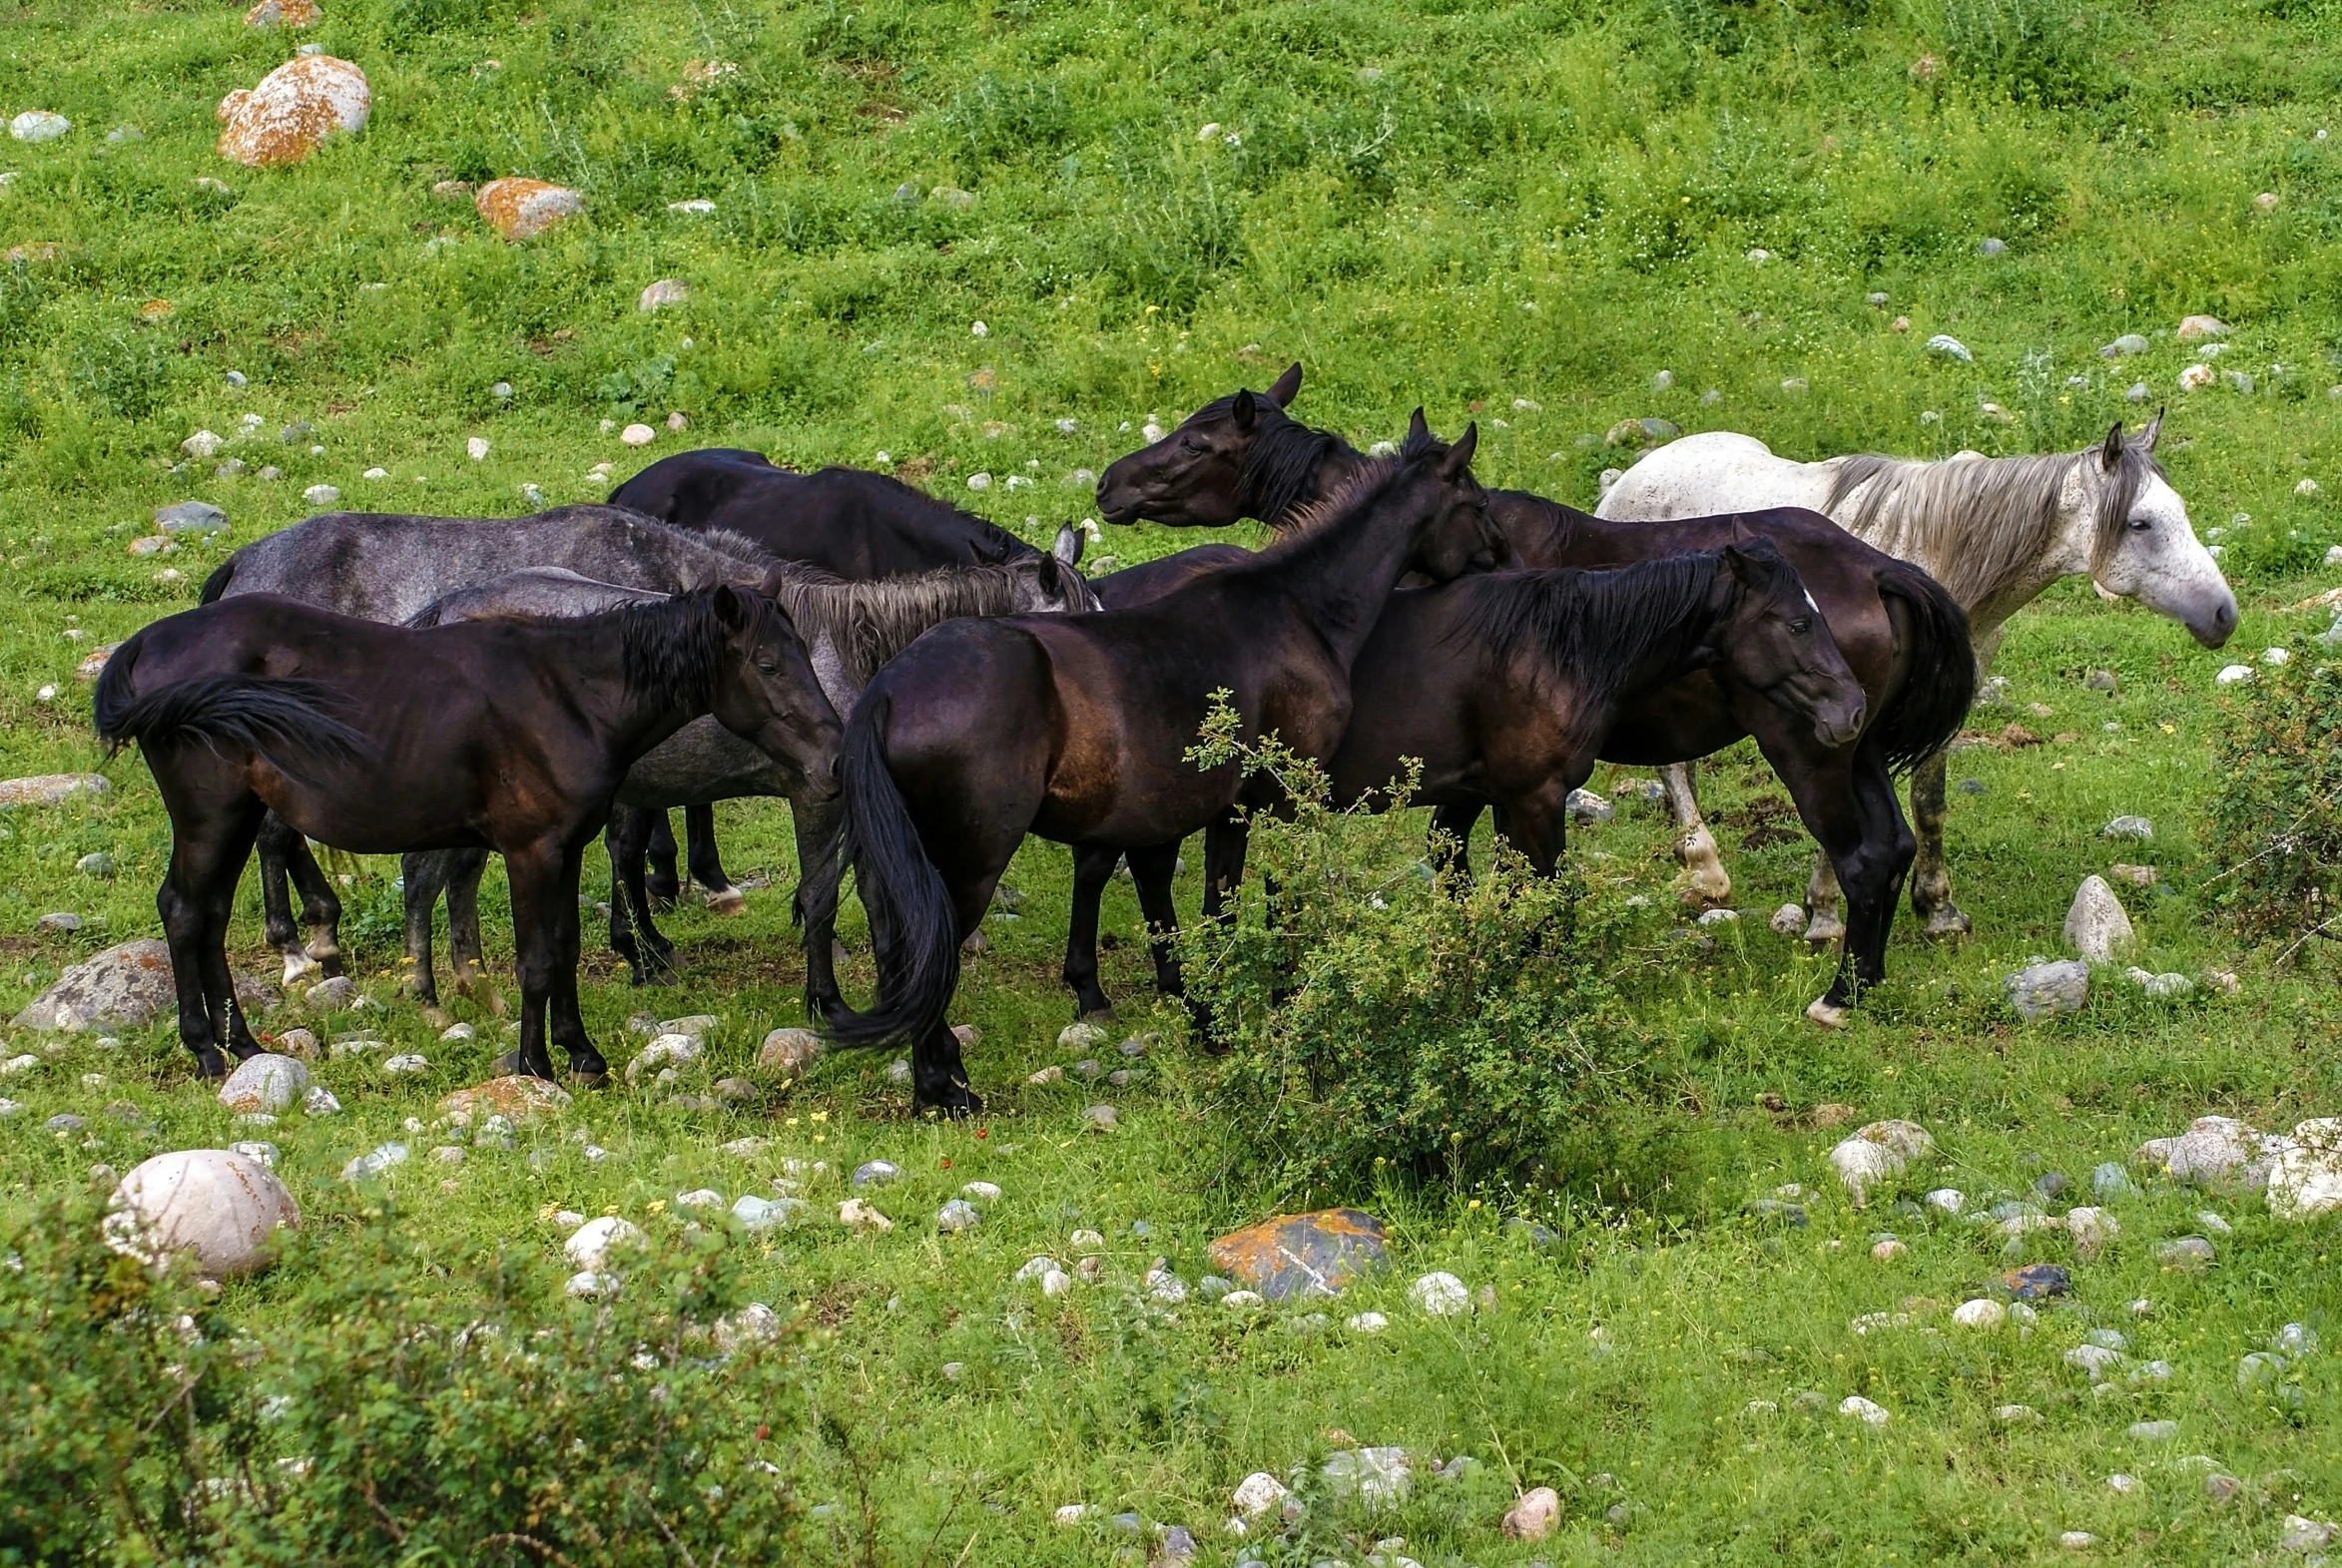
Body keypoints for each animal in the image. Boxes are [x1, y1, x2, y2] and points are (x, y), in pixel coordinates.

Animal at [93, 582, 843, 1085]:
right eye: (769, 664)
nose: (835, 757)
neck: (567, 694)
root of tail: (146, 644)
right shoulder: (530, 850)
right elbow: (537, 959)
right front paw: (537, 1063)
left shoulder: (564, 849)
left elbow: (564, 949)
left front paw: (580, 1051)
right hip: (211, 816)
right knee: (185, 911)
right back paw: (206, 1049)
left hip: (237, 815)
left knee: (210, 916)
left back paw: (245, 1044)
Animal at [402, 552, 1095, 1015]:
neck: (853, 657)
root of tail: (447, 611)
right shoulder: (819, 797)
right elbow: (821, 898)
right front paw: (825, 1001)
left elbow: (878, 896)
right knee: (425, 875)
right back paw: (429, 994)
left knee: (460, 876)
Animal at [824, 411, 1489, 1114]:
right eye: (1476, 505)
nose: (1498, 556)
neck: (1296, 609)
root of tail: (891, 687)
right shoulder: (1279, 805)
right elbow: (1264, 907)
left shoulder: (1222, 810)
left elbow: (1211, 911)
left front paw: (1211, 1016)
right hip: (971, 862)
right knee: (932, 952)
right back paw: (944, 1088)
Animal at [1086, 369, 1967, 1029]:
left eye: (1196, 442)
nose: (1106, 483)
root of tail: (1880, 567)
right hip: (1855, 749)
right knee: (1891, 848)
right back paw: (1868, 975)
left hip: (1809, 749)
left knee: (1860, 858)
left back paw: (1839, 993)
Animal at [1592, 416, 2229, 945]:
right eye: (2140, 523)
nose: (2224, 613)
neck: (1921, 560)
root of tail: (1625, 486)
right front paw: (1825, 916)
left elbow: (1930, 803)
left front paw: (1938, 910)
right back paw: (1706, 869)